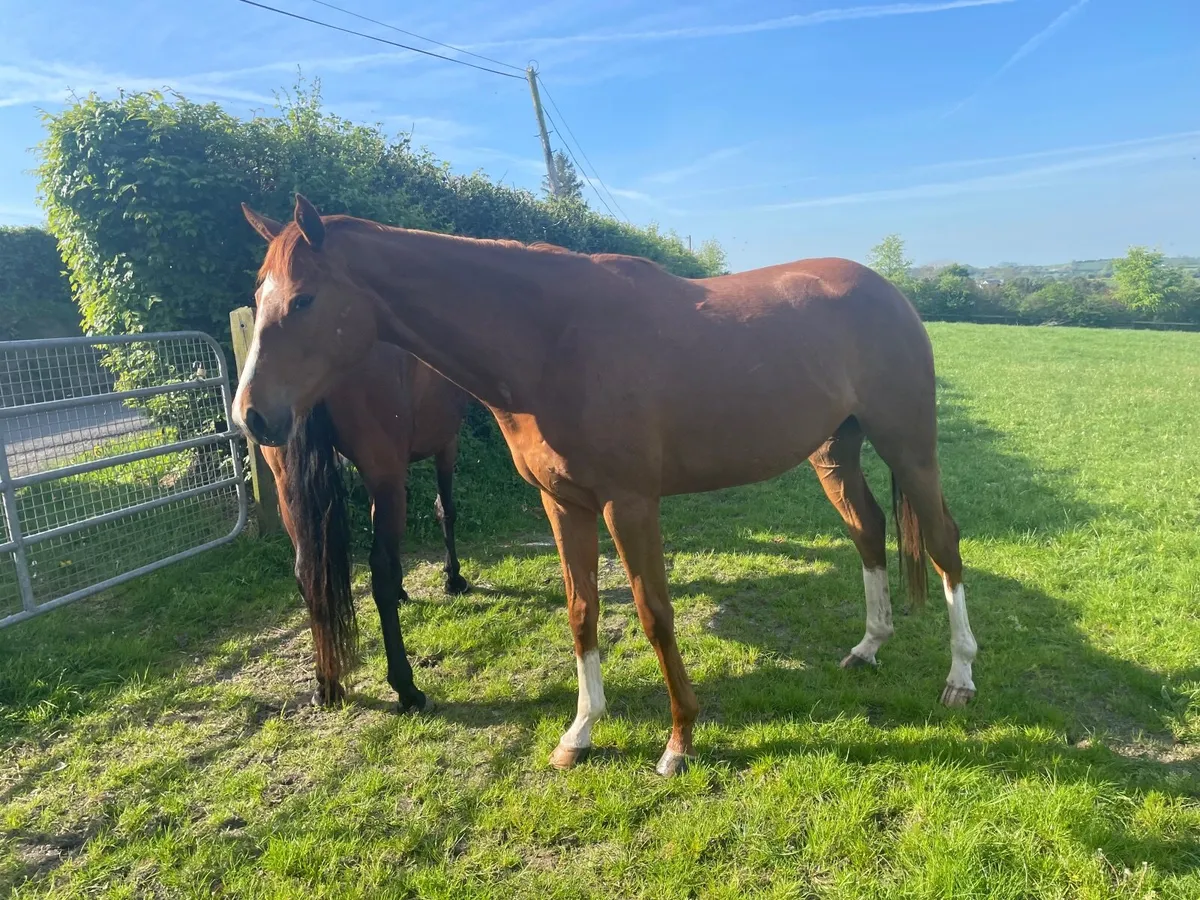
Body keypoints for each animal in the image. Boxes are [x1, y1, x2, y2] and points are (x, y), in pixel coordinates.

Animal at [257, 338, 471, 713]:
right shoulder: (444, 442)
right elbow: (445, 510)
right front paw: (453, 578)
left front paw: (405, 590)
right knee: (379, 572)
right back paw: (406, 689)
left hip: (290, 491)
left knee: (307, 577)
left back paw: (326, 685)